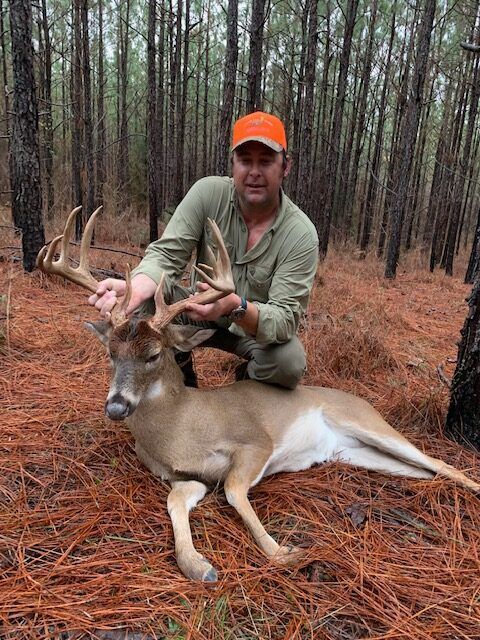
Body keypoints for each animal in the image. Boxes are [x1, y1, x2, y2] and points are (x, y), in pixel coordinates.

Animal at [37, 207, 480, 582]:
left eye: (154, 354)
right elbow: (175, 501)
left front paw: (283, 551)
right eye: (111, 354)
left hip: (365, 421)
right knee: (424, 471)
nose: (116, 406)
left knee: (442, 462)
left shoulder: (255, 442)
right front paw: (199, 565)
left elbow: (235, 492)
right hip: (357, 453)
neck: (182, 427)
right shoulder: (188, 478)